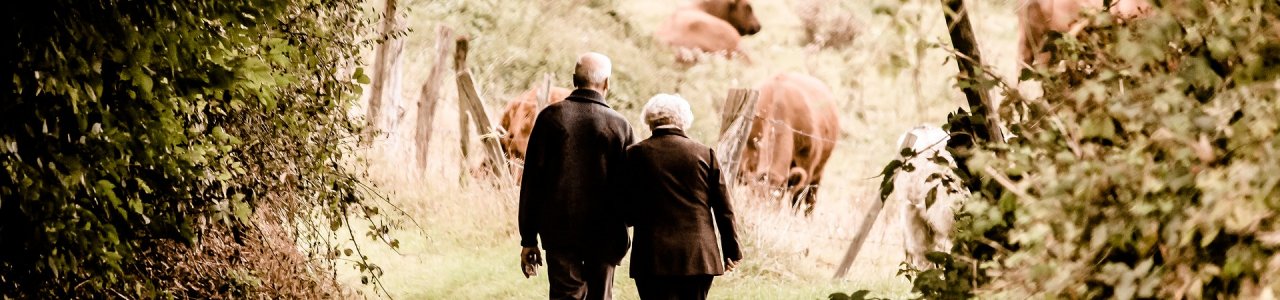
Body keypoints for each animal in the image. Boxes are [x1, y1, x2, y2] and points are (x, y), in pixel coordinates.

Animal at [742, 71, 839, 214]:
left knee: (810, 201)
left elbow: (796, 200)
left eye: (777, 197)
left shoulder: (806, 167)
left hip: (818, 173)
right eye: (756, 196)